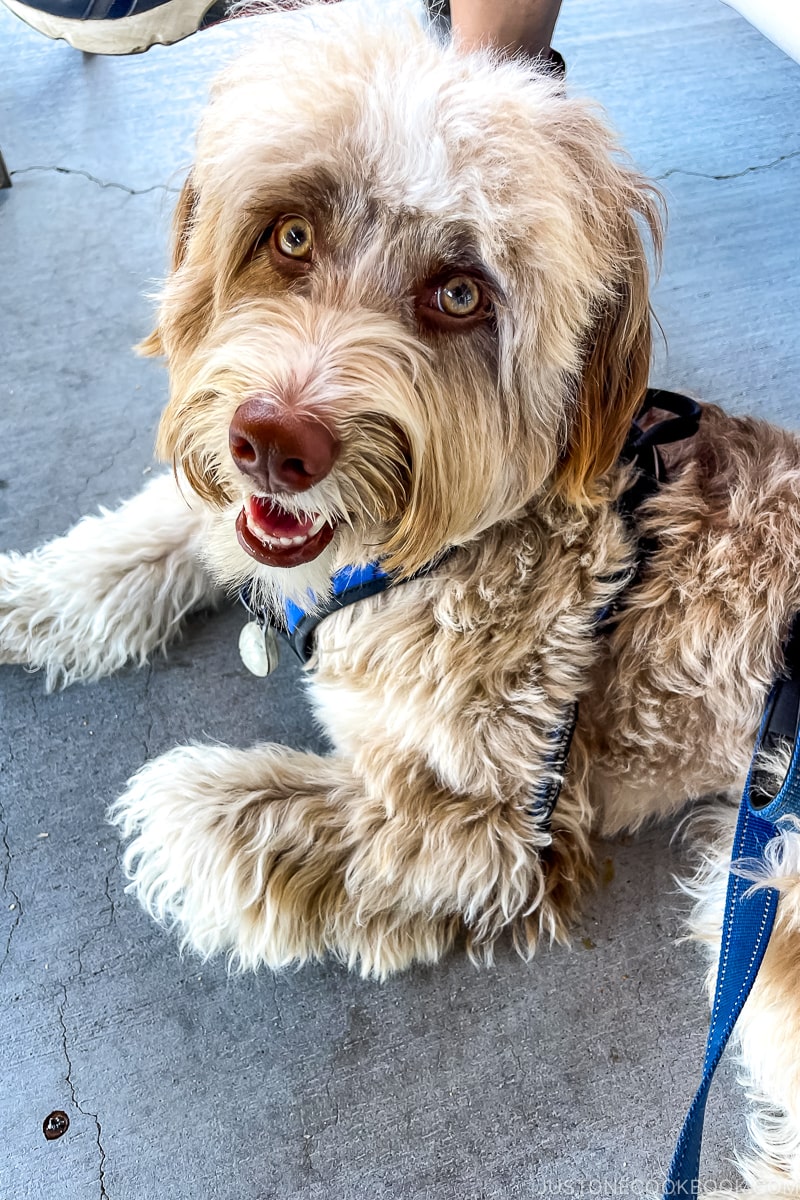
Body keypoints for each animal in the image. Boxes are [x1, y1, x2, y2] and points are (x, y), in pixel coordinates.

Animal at [4, 7, 800, 1190]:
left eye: (459, 295)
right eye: (289, 236)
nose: (275, 443)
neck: (414, 554)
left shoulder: (496, 830)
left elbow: (240, 811)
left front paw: (174, 809)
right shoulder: (250, 524)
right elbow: (165, 528)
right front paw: (37, 594)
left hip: (775, 892)